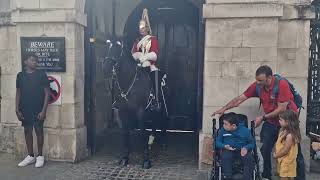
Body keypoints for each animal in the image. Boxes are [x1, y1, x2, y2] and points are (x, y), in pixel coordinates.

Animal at [103, 37, 169, 168]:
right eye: (108, 48)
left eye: (118, 48)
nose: (106, 69)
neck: (129, 80)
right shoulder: (123, 111)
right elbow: (125, 132)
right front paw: (124, 158)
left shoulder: (140, 111)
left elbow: (143, 132)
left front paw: (146, 160)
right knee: (154, 123)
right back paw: (151, 141)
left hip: (161, 107)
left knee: (162, 120)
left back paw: (162, 142)